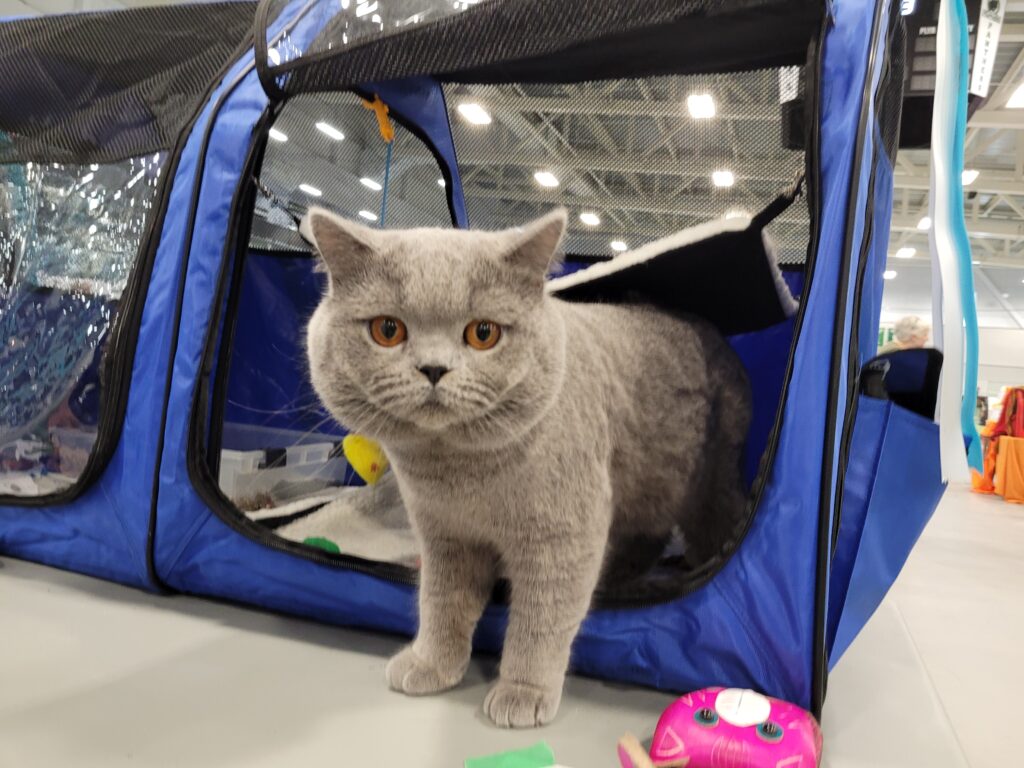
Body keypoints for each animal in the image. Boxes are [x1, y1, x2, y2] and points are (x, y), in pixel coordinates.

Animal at [301, 207, 751, 728]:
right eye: (387, 330)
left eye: (483, 334)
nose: (434, 368)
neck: (459, 473)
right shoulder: (445, 536)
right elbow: (440, 602)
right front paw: (432, 664)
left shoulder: (562, 536)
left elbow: (541, 619)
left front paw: (522, 693)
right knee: (646, 535)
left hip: (706, 477)